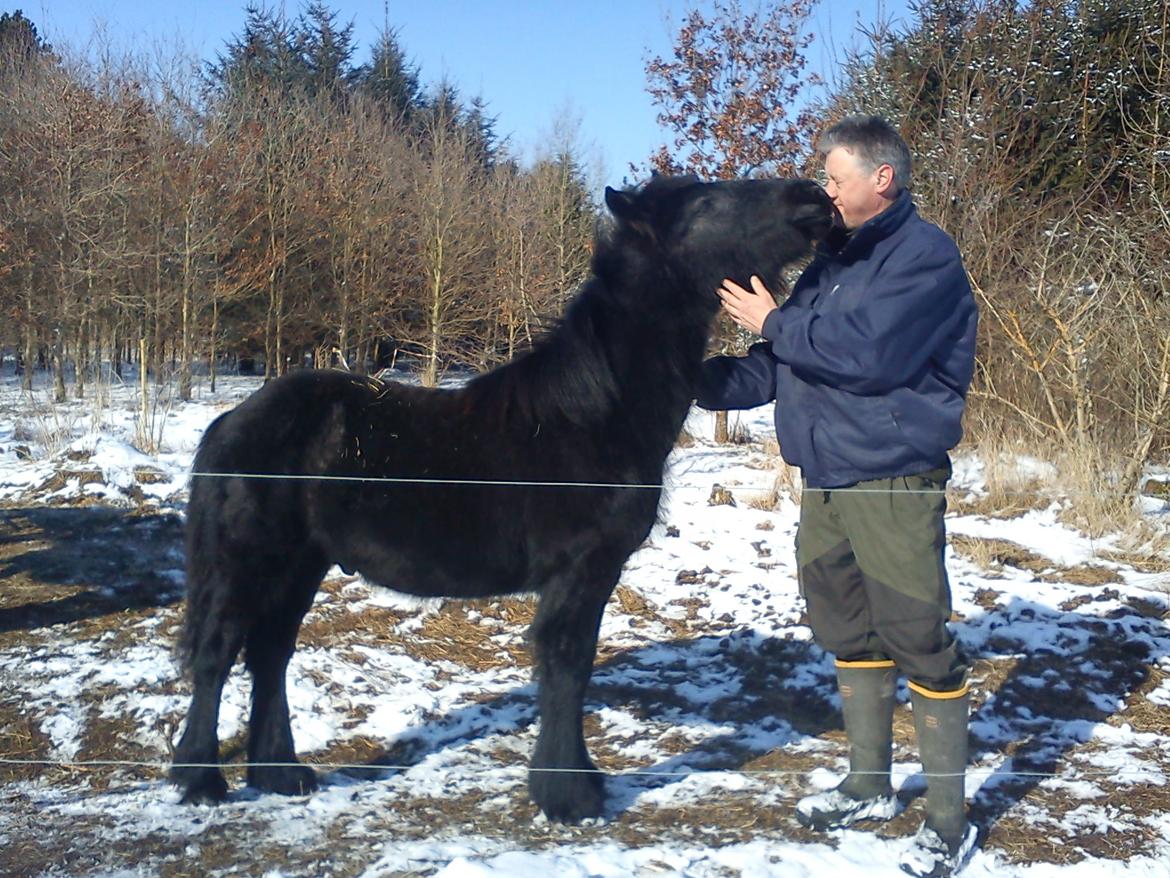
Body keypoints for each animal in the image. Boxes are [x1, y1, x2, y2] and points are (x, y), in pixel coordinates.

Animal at [170, 174, 837, 821]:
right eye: (706, 204)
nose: (814, 198)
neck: (591, 414)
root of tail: (234, 420)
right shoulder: (580, 572)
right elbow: (567, 665)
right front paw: (570, 798)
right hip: (248, 563)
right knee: (217, 655)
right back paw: (201, 782)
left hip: (301, 565)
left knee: (270, 655)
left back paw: (281, 775)